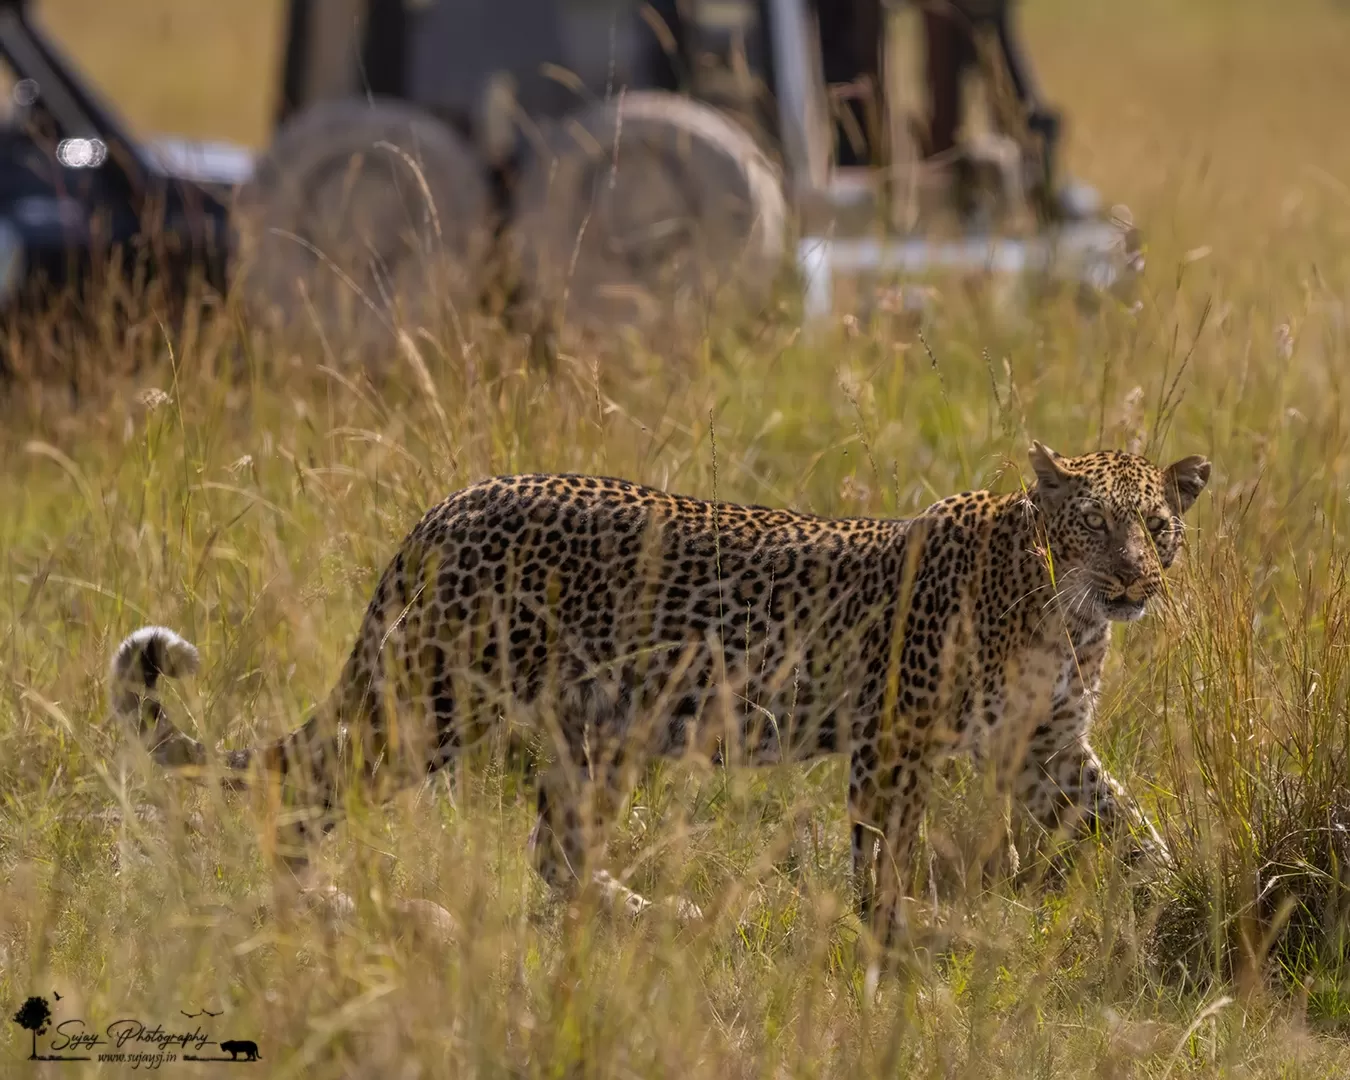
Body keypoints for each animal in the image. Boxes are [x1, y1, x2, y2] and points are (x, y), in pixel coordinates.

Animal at [102, 442, 1204, 939]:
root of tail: (445, 507)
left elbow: (1130, 826)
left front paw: (1171, 897)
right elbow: (883, 849)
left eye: (1157, 524)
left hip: (591, 728)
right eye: (1095, 524)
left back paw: (642, 910)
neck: (1062, 614)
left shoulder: (1047, 751)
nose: (1136, 582)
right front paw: (898, 931)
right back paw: (315, 902)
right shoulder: (892, 738)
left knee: (554, 854)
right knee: (306, 780)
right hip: (432, 700)